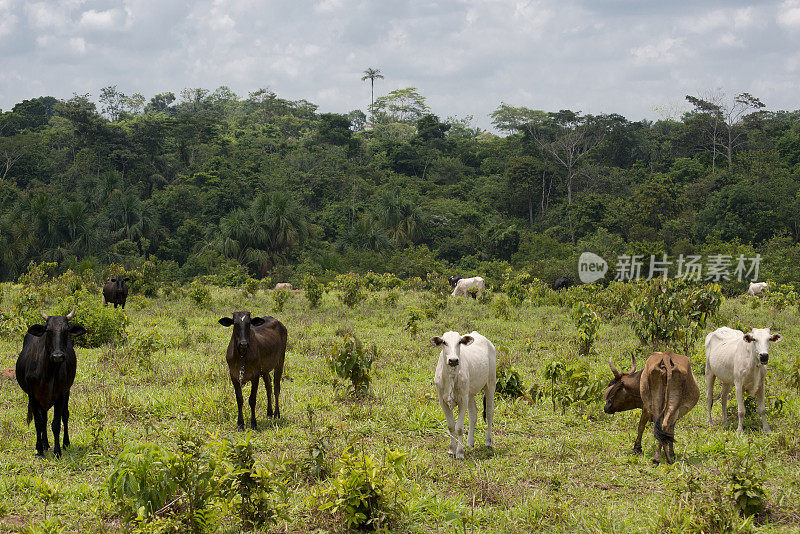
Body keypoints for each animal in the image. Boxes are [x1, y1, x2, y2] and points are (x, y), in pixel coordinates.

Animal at [15, 308, 85, 458]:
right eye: (48, 330)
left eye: (66, 330)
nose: (57, 356)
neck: (48, 372)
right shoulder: (33, 396)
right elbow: (39, 423)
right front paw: (39, 449)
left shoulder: (60, 394)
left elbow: (56, 424)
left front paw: (57, 451)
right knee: (44, 419)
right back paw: (45, 444)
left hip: (66, 392)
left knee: (65, 415)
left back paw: (65, 443)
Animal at [432, 330, 494, 460]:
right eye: (444, 342)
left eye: (460, 342)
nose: (453, 360)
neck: (451, 375)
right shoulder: (442, 401)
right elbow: (451, 426)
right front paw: (452, 449)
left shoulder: (462, 400)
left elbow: (459, 428)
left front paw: (460, 452)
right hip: (469, 394)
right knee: (473, 414)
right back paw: (470, 442)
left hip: (490, 384)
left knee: (490, 412)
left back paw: (488, 442)